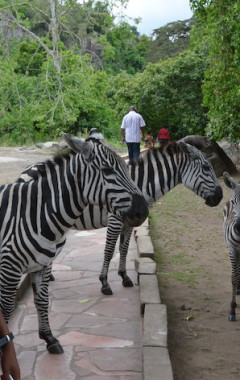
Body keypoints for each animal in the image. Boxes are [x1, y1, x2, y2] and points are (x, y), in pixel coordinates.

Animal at [0, 133, 148, 354]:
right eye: (107, 170)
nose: (143, 212)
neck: (36, 213)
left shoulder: (42, 265)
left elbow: (42, 300)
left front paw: (49, 338)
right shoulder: (9, 268)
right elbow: (6, 311)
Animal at [19, 141, 223, 296]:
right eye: (206, 167)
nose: (220, 197)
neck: (140, 182)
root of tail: (26, 169)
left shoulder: (130, 222)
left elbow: (123, 249)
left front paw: (124, 277)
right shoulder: (115, 219)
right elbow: (109, 251)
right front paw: (104, 283)